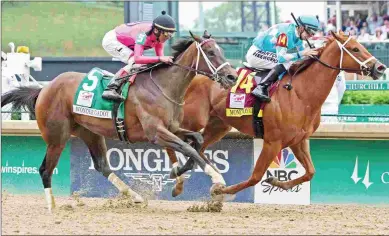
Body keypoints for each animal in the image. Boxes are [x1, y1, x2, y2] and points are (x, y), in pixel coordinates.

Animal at [1, 30, 236, 211]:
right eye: (210, 52)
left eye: (222, 51)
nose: (232, 77)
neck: (164, 86)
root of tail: (43, 90)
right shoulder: (155, 132)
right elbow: (188, 148)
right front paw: (217, 179)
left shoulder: (173, 128)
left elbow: (196, 141)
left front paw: (178, 172)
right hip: (57, 137)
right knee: (45, 169)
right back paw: (52, 205)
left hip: (90, 132)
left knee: (102, 166)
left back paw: (135, 196)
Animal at [166, 30, 384, 197]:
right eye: (355, 49)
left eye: (361, 45)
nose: (380, 67)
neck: (300, 94)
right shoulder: (273, 142)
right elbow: (255, 177)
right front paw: (220, 191)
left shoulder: (298, 140)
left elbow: (310, 172)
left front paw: (277, 182)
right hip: (190, 119)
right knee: (170, 139)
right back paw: (178, 177)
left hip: (218, 125)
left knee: (196, 147)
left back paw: (185, 171)